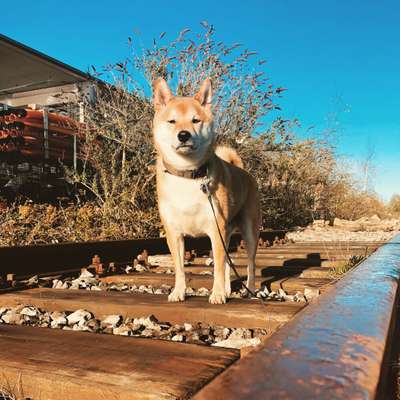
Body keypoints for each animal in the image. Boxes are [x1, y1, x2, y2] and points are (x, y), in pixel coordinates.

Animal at [152, 77, 260, 304]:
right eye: (172, 121)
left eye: (195, 120)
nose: (183, 135)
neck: (187, 174)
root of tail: (244, 171)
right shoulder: (174, 233)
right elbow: (180, 268)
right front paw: (179, 292)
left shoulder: (215, 231)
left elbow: (218, 268)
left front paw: (216, 293)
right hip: (227, 231)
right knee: (228, 263)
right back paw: (228, 289)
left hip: (249, 232)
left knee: (250, 264)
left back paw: (250, 290)